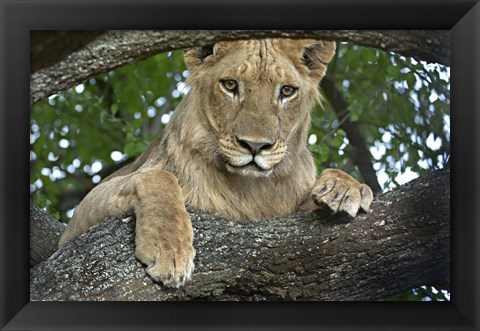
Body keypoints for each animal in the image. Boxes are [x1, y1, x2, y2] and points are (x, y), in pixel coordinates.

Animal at [59, 38, 376, 288]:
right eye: (230, 85)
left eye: (286, 91)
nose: (255, 146)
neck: (249, 187)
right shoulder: (70, 233)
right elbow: (159, 177)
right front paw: (169, 250)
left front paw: (345, 187)